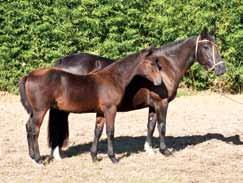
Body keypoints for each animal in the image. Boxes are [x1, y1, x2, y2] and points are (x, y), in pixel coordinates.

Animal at [19, 47, 163, 164]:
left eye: (158, 64)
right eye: (151, 63)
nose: (159, 82)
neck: (113, 78)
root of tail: (29, 75)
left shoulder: (101, 112)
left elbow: (97, 131)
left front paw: (94, 156)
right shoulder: (110, 109)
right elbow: (110, 132)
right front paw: (113, 158)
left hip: (34, 111)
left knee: (28, 127)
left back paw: (32, 157)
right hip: (40, 110)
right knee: (34, 130)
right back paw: (38, 160)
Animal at [47, 27, 226, 160]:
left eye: (216, 46)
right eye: (205, 47)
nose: (222, 69)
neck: (166, 67)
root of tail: (61, 62)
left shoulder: (153, 105)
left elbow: (151, 125)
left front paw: (149, 149)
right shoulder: (162, 103)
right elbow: (162, 126)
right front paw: (165, 150)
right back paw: (57, 154)